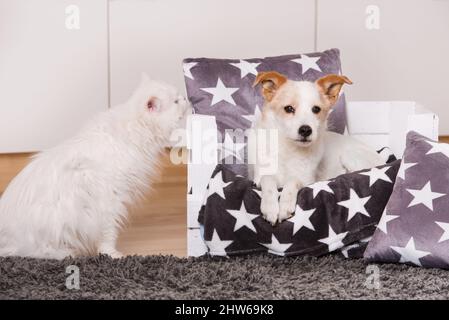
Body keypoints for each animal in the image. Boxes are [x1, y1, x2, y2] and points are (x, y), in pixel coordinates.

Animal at [250, 70, 384, 225]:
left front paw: (284, 205)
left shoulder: (306, 179)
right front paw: (270, 207)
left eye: (316, 109)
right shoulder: (259, 179)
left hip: (350, 156)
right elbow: (267, 180)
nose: (305, 130)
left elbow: (292, 182)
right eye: (289, 109)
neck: (290, 149)